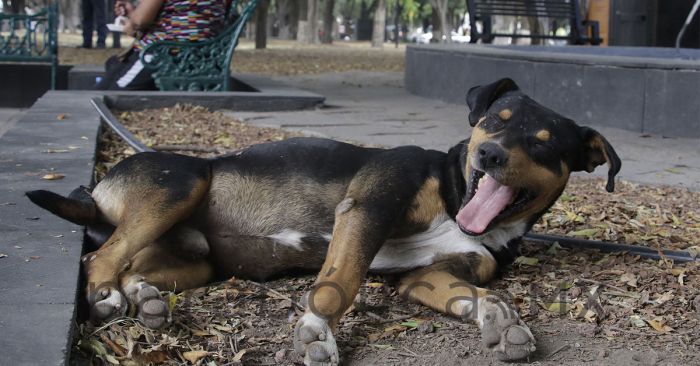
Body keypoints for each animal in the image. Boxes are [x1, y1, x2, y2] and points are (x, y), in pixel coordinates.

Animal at [27, 78, 616, 364]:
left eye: (543, 145)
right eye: (494, 120)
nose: (491, 154)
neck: (456, 196)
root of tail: (100, 190)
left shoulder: (425, 278)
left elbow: (481, 293)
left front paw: (500, 322)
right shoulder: (367, 209)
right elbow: (340, 281)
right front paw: (315, 331)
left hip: (197, 261)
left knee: (130, 265)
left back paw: (145, 298)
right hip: (183, 182)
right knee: (100, 257)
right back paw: (107, 297)